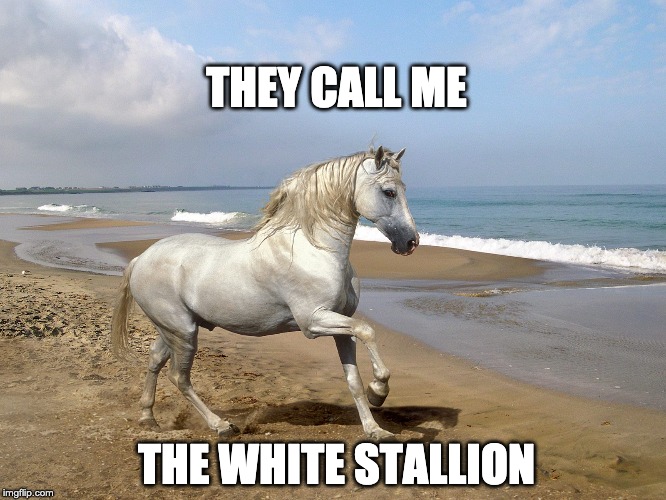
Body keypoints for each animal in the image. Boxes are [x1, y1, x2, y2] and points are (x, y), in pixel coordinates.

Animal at [111, 146, 419, 439]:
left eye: (403, 188)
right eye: (389, 191)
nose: (410, 242)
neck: (314, 249)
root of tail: (141, 259)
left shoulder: (340, 326)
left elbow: (353, 380)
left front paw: (375, 428)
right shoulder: (314, 322)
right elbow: (368, 330)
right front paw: (378, 391)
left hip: (173, 329)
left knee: (155, 360)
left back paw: (148, 418)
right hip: (183, 332)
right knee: (179, 377)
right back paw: (221, 425)